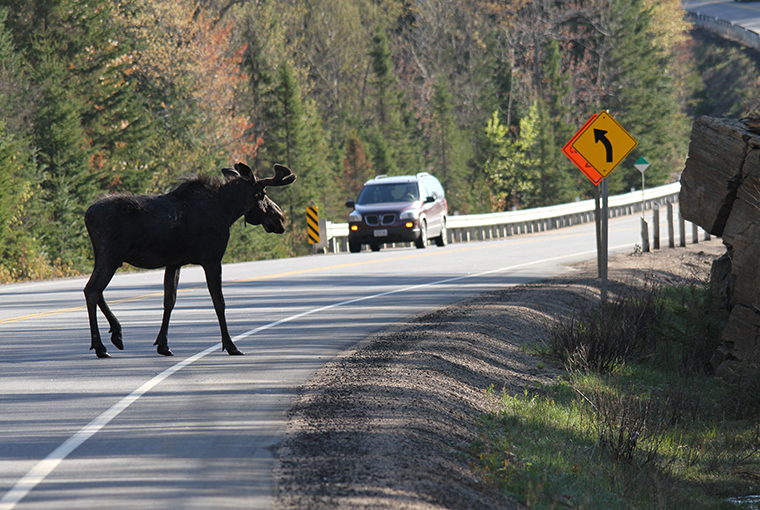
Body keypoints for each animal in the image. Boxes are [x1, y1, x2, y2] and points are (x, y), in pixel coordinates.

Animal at [83, 163, 296, 358]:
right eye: (262, 194)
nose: (279, 218)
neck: (228, 211)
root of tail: (87, 215)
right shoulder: (212, 259)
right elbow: (219, 302)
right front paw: (231, 346)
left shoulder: (174, 263)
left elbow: (169, 300)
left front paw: (163, 345)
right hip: (111, 256)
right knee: (92, 290)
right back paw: (100, 346)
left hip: (104, 257)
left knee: (95, 290)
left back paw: (116, 333)